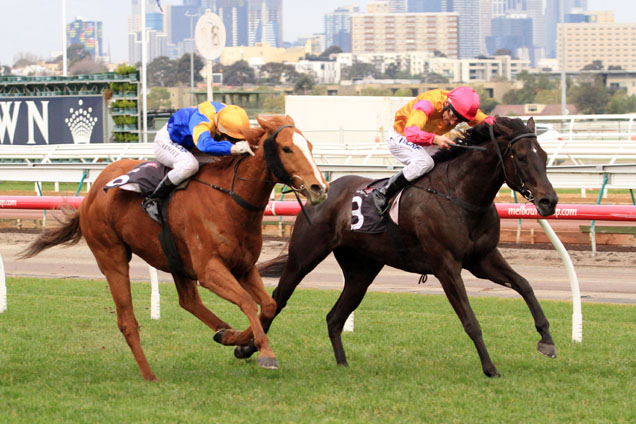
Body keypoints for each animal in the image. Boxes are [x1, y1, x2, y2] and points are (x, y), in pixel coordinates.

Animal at [19, 115, 328, 380]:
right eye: (287, 148)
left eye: (310, 146)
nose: (319, 188)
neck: (230, 200)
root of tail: (92, 193)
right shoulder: (209, 270)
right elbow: (248, 302)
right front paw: (265, 352)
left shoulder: (243, 266)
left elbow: (268, 305)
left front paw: (242, 343)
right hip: (112, 256)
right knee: (127, 320)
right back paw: (149, 376)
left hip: (175, 260)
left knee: (189, 302)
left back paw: (224, 333)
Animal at [236, 117, 560, 378]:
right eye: (521, 157)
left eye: (544, 156)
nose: (549, 201)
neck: (460, 194)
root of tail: (323, 191)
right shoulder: (447, 266)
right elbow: (470, 320)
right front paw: (490, 368)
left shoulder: (483, 258)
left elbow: (524, 285)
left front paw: (547, 340)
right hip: (304, 257)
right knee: (278, 299)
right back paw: (246, 348)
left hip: (362, 270)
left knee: (335, 317)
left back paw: (342, 365)